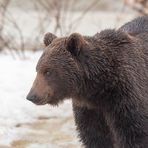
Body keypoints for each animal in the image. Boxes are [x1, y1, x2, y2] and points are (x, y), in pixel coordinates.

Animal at [26, 15, 148, 147]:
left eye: (48, 71)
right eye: (37, 69)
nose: (31, 96)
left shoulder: (125, 98)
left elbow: (134, 134)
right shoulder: (89, 110)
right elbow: (95, 137)